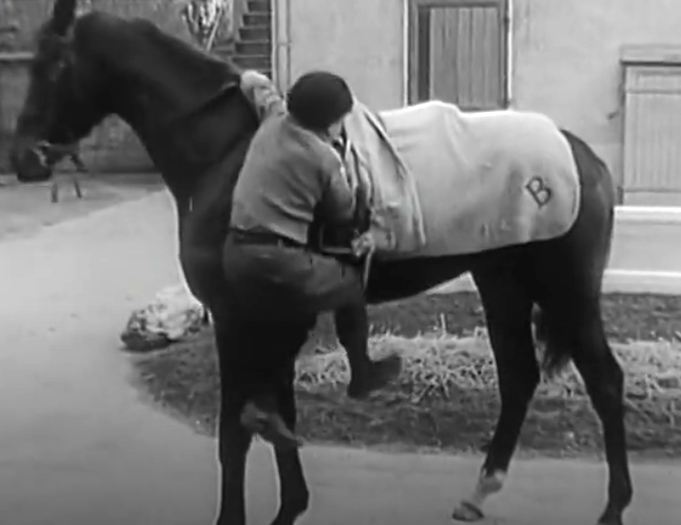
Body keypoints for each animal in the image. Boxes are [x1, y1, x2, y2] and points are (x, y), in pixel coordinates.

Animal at [9, 2, 632, 520]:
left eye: (50, 65)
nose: (23, 157)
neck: (231, 154)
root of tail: (583, 158)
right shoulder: (272, 317)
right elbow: (275, 414)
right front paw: (290, 506)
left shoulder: (237, 319)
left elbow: (235, 431)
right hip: (502, 282)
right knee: (520, 377)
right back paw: (479, 493)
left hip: (567, 292)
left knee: (604, 381)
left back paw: (612, 507)